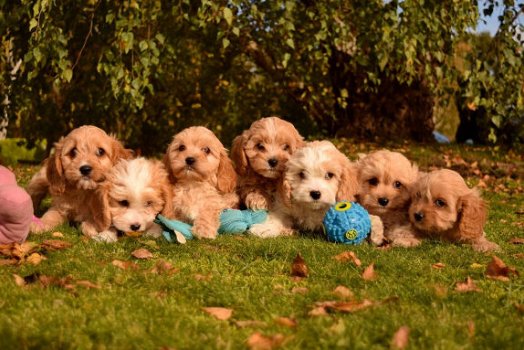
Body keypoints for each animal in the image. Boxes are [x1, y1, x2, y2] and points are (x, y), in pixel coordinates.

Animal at [248, 141, 382, 242]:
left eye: (329, 175)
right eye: (302, 174)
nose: (315, 193)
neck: (313, 209)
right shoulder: (285, 205)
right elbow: (278, 215)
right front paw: (265, 228)